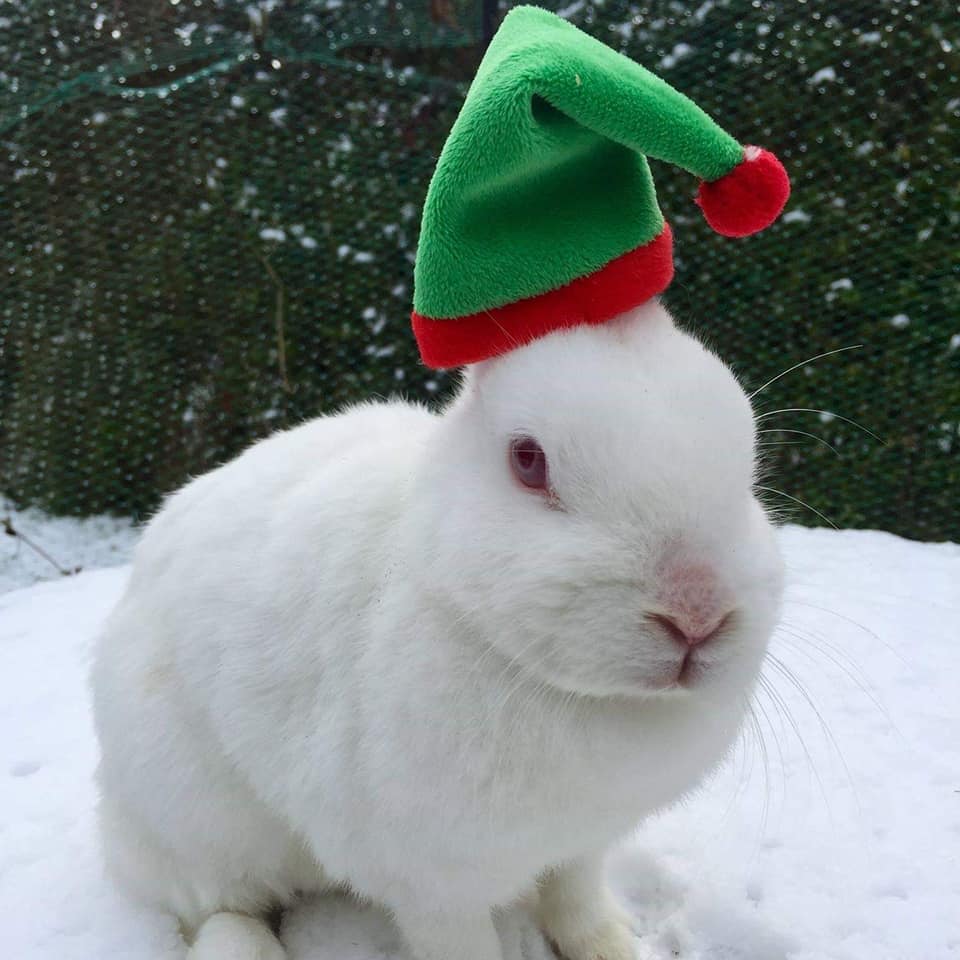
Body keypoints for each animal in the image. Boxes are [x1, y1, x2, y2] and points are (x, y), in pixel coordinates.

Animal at [90, 302, 784, 960]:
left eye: (746, 469)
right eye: (528, 461)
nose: (696, 614)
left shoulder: (579, 845)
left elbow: (577, 900)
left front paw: (612, 948)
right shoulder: (430, 881)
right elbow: (463, 943)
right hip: (197, 820)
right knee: (217, 907)